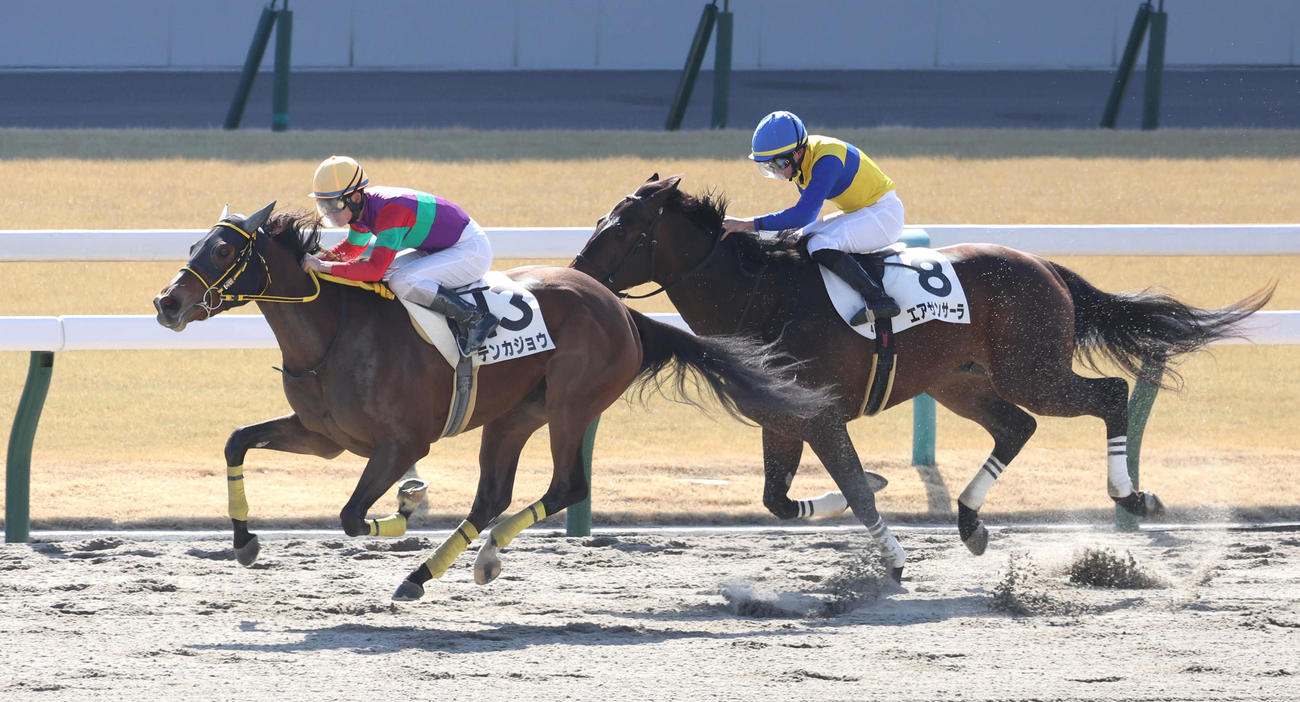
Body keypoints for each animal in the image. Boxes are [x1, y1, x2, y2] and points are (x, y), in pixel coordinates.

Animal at [152, 202, 833, 601]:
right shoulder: (322, 437)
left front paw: (407, 505)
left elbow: (350, 515)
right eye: (192, 245)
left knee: (566, 486)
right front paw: (244, 542)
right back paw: (428, 574)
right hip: (513, 416)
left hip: (571, 405)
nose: (166, 303)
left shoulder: (401, 442)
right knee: (493, 496)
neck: (334, 332)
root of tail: (621, 310)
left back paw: (469, 561)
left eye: (222, 250)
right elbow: (237, 441)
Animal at [573, 175, 1274, 578]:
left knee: (1109, 395)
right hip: (958, 381)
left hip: (1031, 369)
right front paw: (870, 496)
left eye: (621, 228)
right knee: (1016, 428)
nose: (577, 276)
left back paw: (1131, 494)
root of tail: (1044, 265)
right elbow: (779, 500)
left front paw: (893, 556)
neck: (761, 295)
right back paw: (969, 522)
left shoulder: (821, 414)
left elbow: (856, 490)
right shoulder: (783, 417)